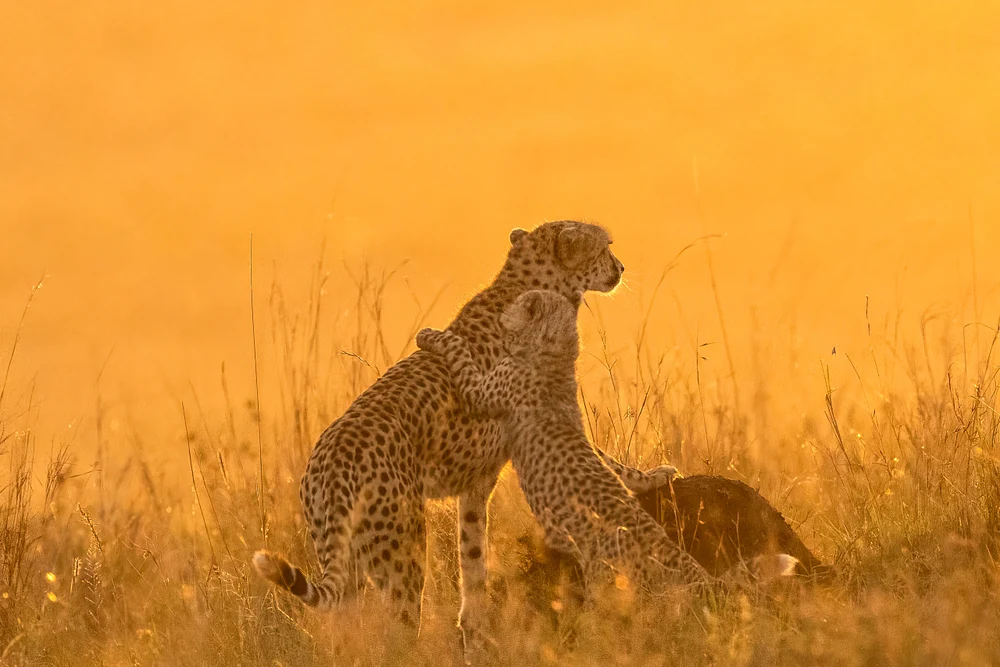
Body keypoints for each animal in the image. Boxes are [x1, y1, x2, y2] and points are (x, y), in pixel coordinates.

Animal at [252, 221, 677, 640]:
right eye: (604, 247)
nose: (620, 268)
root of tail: (332, 458)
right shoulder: (530, 413)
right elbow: (605, 460)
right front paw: (654, 475)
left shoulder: (476, 485)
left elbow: (473, 563)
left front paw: (474, 629)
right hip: (402, 553)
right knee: (399, 628)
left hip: (345, 555)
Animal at [415, 289, 798, 605]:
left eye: (517, 304)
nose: (502, 316)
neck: (555, 354)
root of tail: (681, 559)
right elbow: (615, 464)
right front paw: (659, 474)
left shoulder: (482, 389)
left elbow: (461, 359)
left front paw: (433, 336)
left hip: (610, 571)